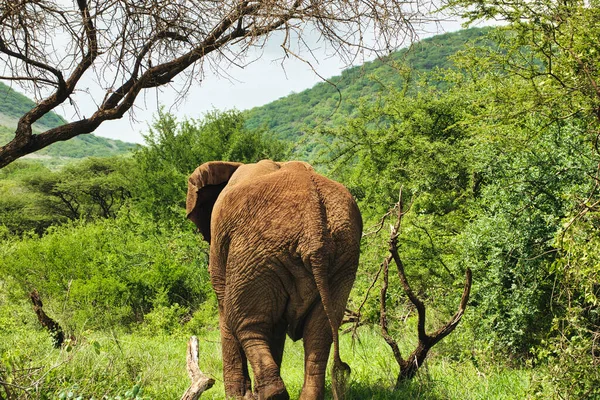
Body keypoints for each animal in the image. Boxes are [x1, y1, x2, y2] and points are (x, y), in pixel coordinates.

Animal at [185, 160, 360, 400]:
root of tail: (314, 227)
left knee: (246, 323)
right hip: (340, 257)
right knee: (319, 331)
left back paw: (269, 394)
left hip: (255, 251)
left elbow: (225, 310)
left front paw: (238, 397)